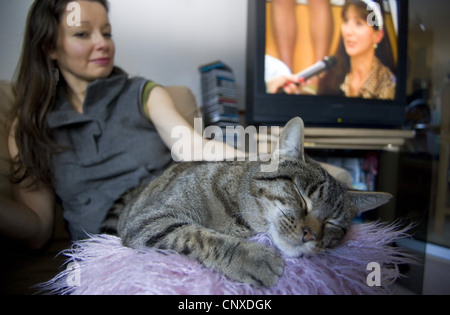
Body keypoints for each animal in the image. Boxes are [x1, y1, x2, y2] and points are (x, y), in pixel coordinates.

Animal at [101, 117, 390, 288]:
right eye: (301, 195)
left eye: (333, 224)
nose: (311, 235)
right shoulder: (149, 220)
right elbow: (199, 236)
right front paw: (253, 258)